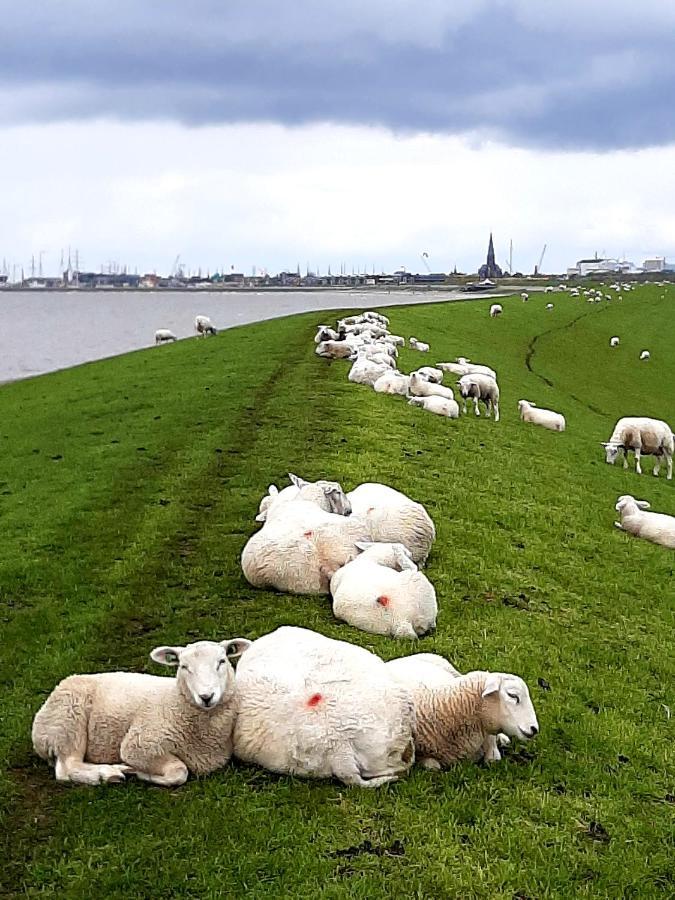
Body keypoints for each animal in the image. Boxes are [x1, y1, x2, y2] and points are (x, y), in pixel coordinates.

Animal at [31, 636, 251, 784]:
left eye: (222, 661)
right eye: (183, 666)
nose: (206, 696)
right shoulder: (139, 745)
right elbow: (179, 772)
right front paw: (141, 773)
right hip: (68, 722)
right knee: (67, 768)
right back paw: (108, 774)